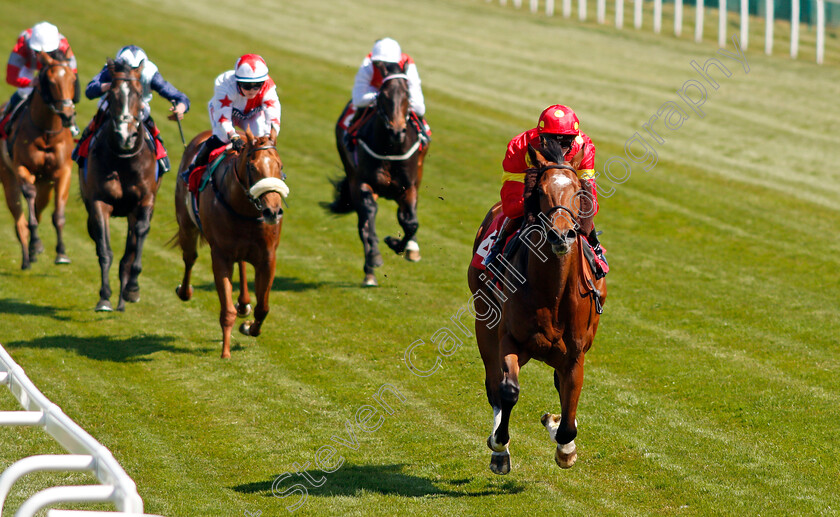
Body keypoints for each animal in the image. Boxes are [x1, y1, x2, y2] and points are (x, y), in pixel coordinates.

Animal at [0, 51, 76, 270]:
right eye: (50, 81)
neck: (47, 134)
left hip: (45, 184)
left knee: (39, 207)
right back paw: (27, 255)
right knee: (19, 217)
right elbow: (29, 197)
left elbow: (58, 215)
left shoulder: (63, 172)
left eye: (72, 79)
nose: (67, 115)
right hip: (8, 178)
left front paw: (61, 253)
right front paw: (35, 241)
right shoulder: (21, 167)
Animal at [79, 59, 161, 310]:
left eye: (138, 94)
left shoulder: (145, 200)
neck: (124, 161)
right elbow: (104, 250)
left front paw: (132, 288)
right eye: (112, 94)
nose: (126, 136)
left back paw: (125, 297)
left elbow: (140, 235)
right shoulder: (99, 201)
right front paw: (104, 297)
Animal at [173, 127, 286, 356]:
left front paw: (250, 327)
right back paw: (185, 291)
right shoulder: (221, 255)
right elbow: (227, 310)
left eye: (279, 166)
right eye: (252, 166)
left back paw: (244, 304)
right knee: (190, 258)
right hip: (186, 225)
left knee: (241, 264)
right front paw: (225, 351)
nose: (273, 212)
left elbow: (263, 308)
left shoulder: (268, 257)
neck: (245, 210)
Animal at [332, 61, 430, 286]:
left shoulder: (409, 187)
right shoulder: (363, 183)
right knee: (364, 223)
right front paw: (375, 256)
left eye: (407, 93)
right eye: (383, 95)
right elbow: (369, 216)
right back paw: (369, 271)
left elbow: (411, 223)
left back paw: (411, 248)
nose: (397, 131)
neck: (391, 148)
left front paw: (397, 244)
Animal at [466, 143, 604, 474]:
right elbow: (508, 391)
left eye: (579, 190)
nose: (561, 234)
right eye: (540, 191)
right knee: (493, 385)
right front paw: (499, 445)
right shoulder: (510, 339)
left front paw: (564, 444)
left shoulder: (575, 353)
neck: (552, 294)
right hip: (484, 321)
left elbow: (569, 409)